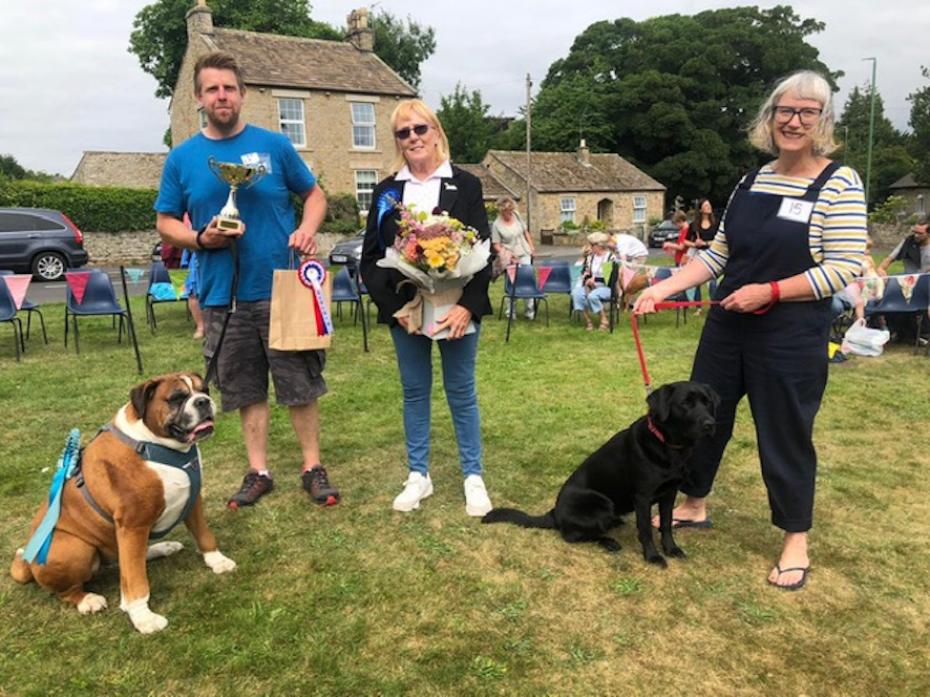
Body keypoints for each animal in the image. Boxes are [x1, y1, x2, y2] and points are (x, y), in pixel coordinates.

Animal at [9, 372, 234, 632]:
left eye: (204, 390)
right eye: (177, 398)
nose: (203, 401)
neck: (154, 444)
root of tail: (27, 564)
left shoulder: (193, 500)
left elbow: (204, 535)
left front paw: (217, 560)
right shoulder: (133, 524)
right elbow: (135, 581)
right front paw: (143, 617)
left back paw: (162, 548)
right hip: (75, 547)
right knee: (70, 589)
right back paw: (87, 600)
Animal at [482, 380, 716, 564]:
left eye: (707, 403)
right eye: (685, 403)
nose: (710, 424)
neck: (669, 447)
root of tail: (554, 513)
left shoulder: (669, 493)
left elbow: (666, 524)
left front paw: (672, 549)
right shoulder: (642, 497)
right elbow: (646, 530)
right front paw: (653, 556)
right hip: (602, 504)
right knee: (574, 535)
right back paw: (609, 541)